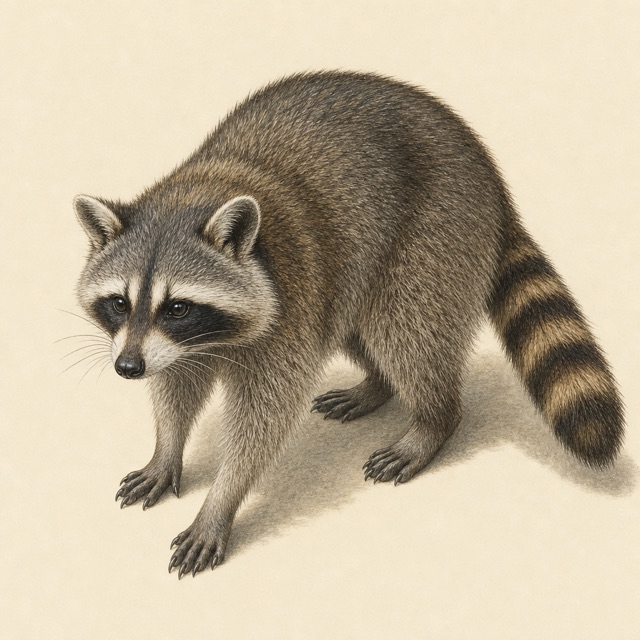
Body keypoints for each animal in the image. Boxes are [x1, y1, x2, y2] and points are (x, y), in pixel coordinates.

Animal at [74, 71, 624, 578]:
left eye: (177, 307)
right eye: (119, 303)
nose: (127, 367)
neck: (195, 193)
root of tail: (491, 176)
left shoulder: (290, 305)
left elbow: (262, 420)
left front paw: (220, 502)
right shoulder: (179, 345)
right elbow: (176, 386)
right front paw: (165, 452)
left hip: (435, 234)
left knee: (405, 331)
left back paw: (433, 420)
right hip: (356, 277)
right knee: (361, 331)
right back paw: (376, 384)